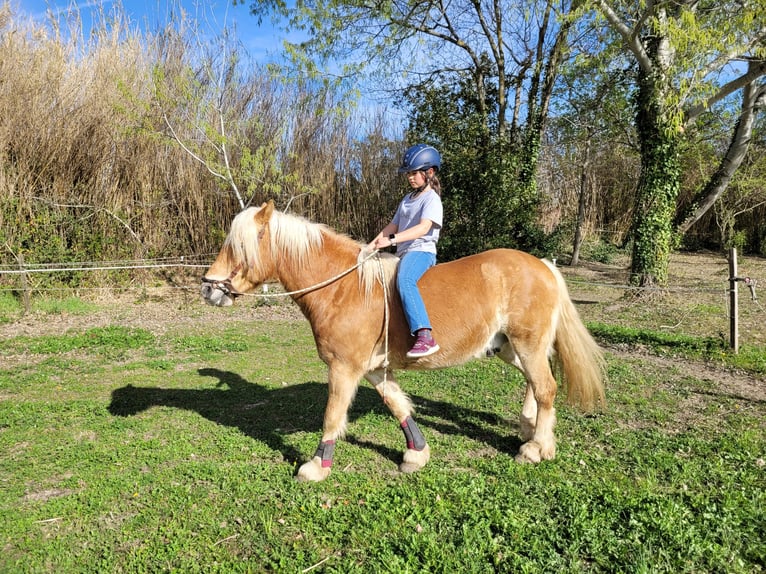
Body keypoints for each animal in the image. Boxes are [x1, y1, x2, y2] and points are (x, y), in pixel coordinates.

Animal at [201, 201, 608, 482]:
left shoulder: (344, 369)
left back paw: (537, 448)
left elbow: (332, 416)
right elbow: (399, 406)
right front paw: (416, 455)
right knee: (535, 382)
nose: (208, 287)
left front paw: (316, 466)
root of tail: (543, 266)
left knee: (545, 386)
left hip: (527, 343)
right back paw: (529, 429)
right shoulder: (373, 369)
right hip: (509, 347)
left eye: (238, 246)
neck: (345, 289)